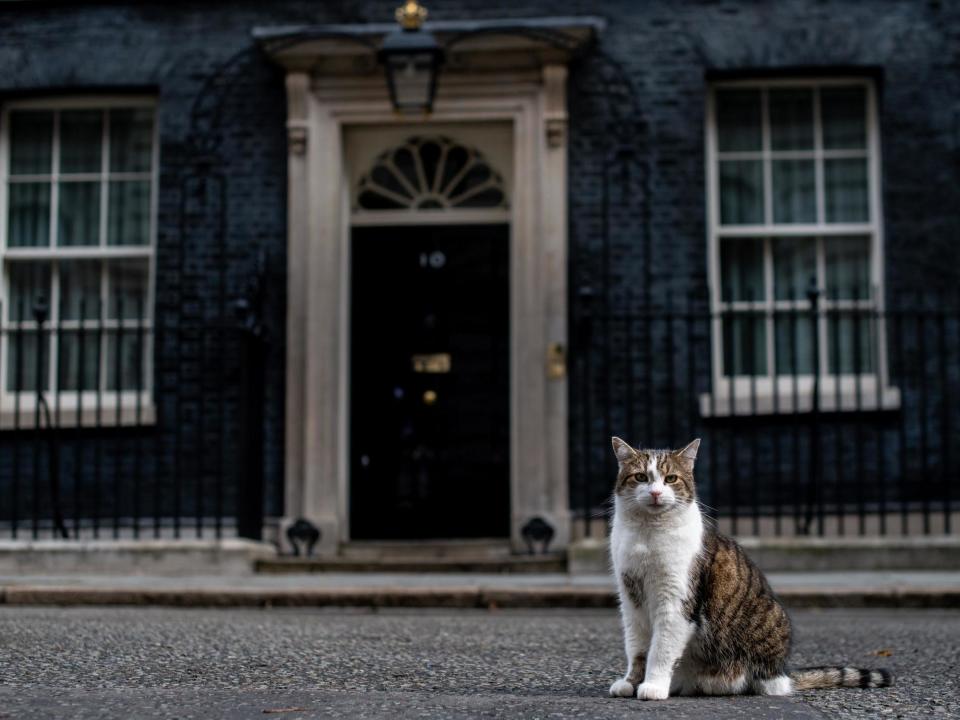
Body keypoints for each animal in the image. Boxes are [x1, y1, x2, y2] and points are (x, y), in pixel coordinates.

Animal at [608, 436, 892, 700]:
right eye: (641, 477)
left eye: (671, 478)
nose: (656, 493)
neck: (647, 533)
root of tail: (784, 672)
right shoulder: (630, 598)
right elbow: (637, 648)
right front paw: (631, 682)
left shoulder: (676, 601)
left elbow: (661, 649)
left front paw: (654, 686)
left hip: (771, 622)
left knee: (765, 685)